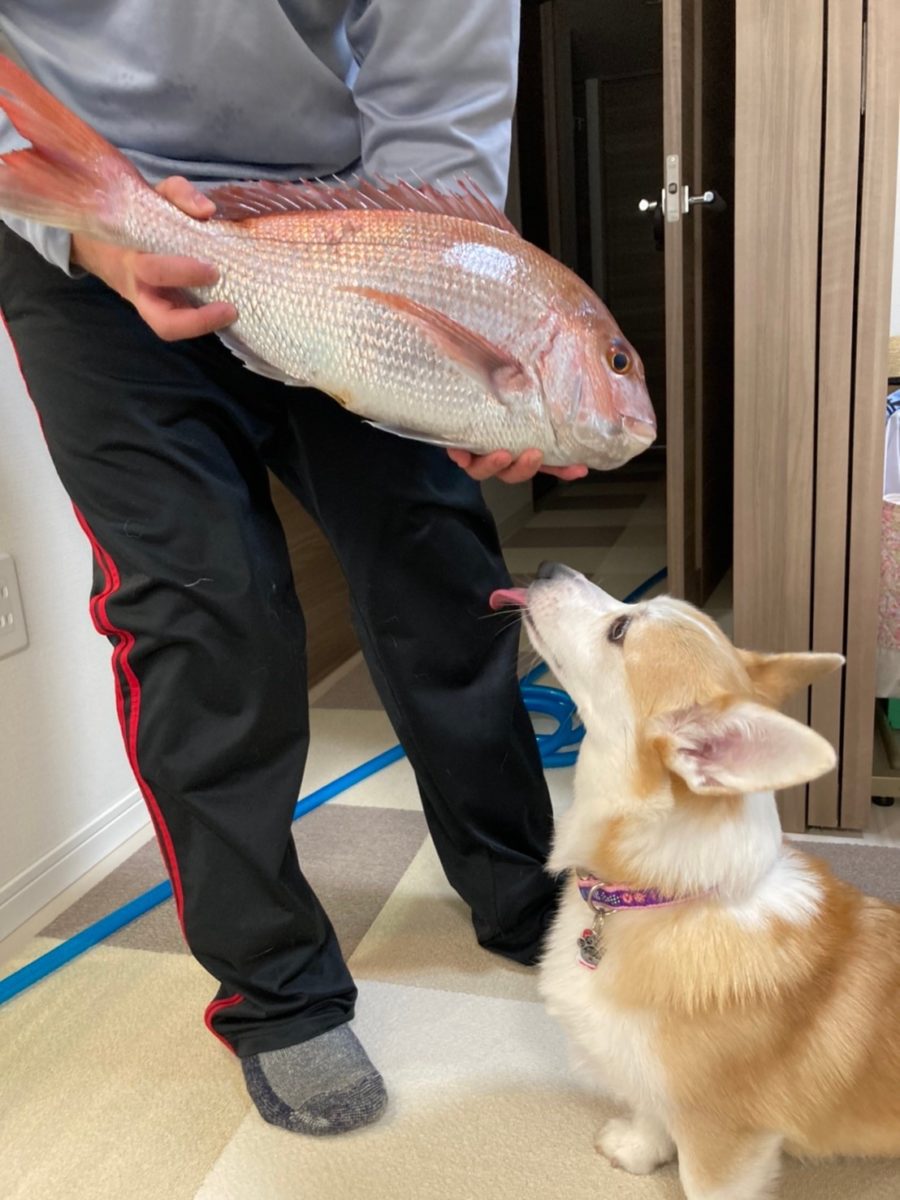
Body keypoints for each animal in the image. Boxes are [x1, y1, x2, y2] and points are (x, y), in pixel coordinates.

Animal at [491, 563, 900, 1199]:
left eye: (620, 630)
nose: (550, 568)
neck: (655, 897)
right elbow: (650, 1113)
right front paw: (636, 1149)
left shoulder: (725, 1144)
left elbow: (698, 1178)